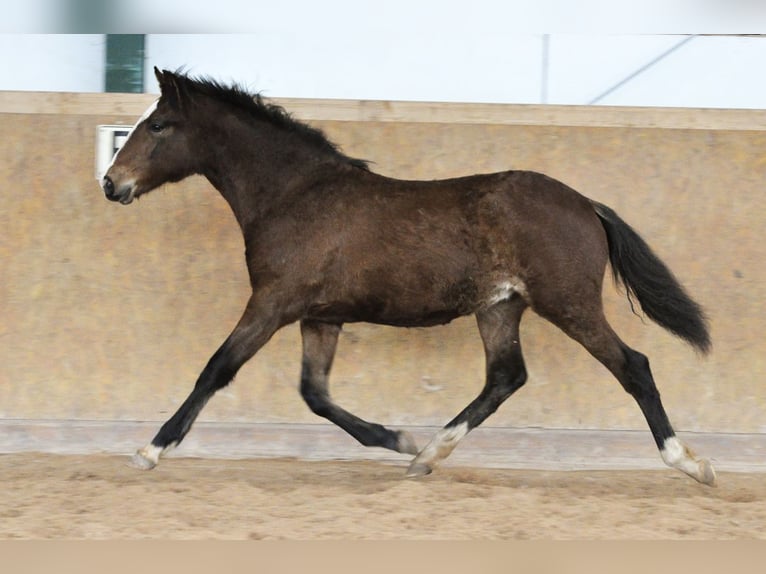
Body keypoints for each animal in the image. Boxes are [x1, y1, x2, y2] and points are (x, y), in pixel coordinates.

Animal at [102, 70, 720, 488]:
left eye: (158, 125)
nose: (111, 184)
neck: (295, 194)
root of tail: (587, 205)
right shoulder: (321, 316)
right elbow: (315, 394)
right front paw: (396, 439)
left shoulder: (274, 302)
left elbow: (216, 368)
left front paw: (151, 450)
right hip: (500, 307)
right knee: (505, 377)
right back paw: (427, 456)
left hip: (568, 304)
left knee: (632, 366)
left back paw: (691, 463)